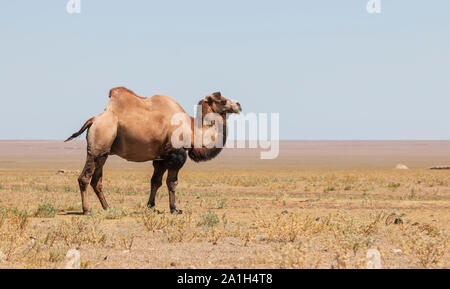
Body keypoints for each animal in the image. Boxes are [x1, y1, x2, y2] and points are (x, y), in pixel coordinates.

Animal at [64, 86, 241, 213]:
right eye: (222, 101)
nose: (238, 105)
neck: (193, 131)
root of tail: (94, 120)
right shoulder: (176, 154)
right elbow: (172, 182)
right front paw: (175, 209)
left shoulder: (161, 157)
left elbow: (155, 181)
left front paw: (151, 206)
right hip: (97, 147)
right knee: (84, 178)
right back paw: (87, 210)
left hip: (103, 153)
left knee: (97, 180)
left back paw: (107, 207)